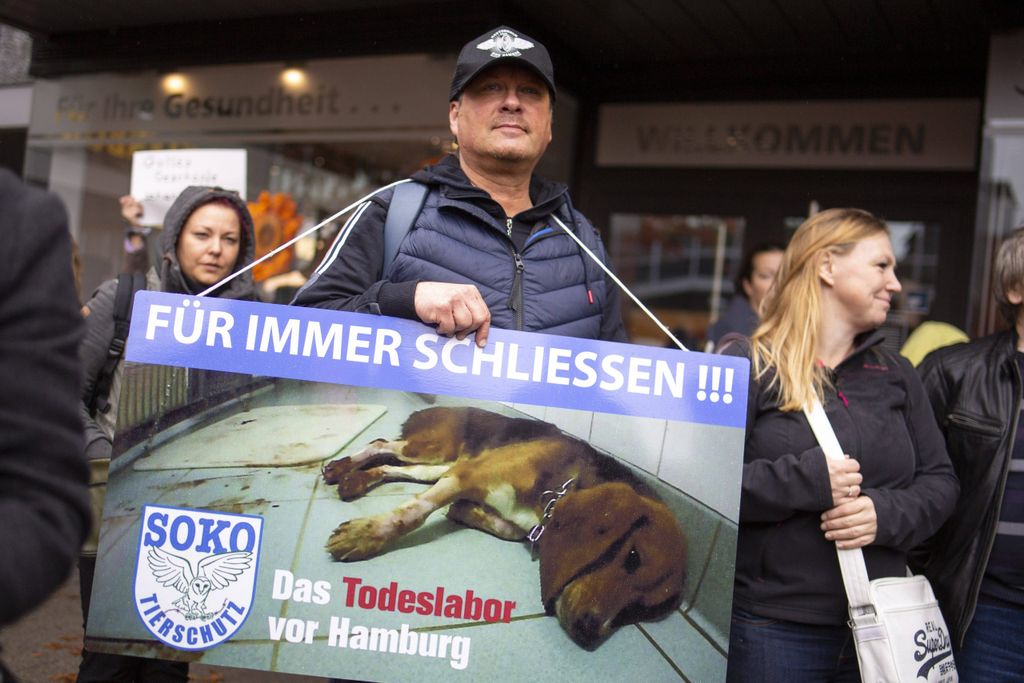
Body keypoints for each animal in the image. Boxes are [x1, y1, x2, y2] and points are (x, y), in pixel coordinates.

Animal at [319, 405, 688, 651]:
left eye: (640, 608)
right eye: (633, 557)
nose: (588, 632)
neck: (558, 493)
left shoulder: (472, 482)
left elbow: (501, 525)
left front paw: (465, 511)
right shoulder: (467, 475)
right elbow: (412, 514)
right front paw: (366, 534)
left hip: (438, 465)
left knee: (394, 466)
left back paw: (353, 478)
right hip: (432, 451)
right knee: (381, 444)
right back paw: (341, 466)